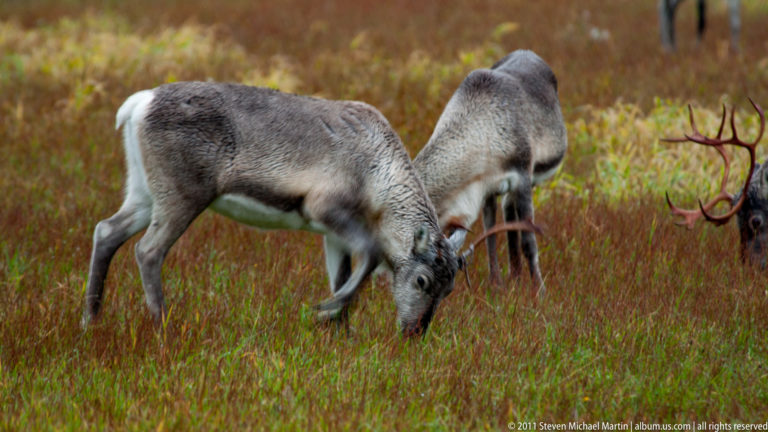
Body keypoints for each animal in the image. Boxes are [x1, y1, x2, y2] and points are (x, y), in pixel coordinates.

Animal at [83, 81, 468, 337]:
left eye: (449, 290)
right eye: (422, 280)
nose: (415, 333)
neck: (378, 176)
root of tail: (138, 104)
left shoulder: (333, 235)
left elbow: (341, 274)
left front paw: (339, 333)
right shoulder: (324, 207)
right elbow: (369, 256)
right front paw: (326, 311)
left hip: (143, 193)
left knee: (106, 231)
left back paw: (90, 319)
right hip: (182, 196)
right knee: (148, 250)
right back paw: (163, 326)